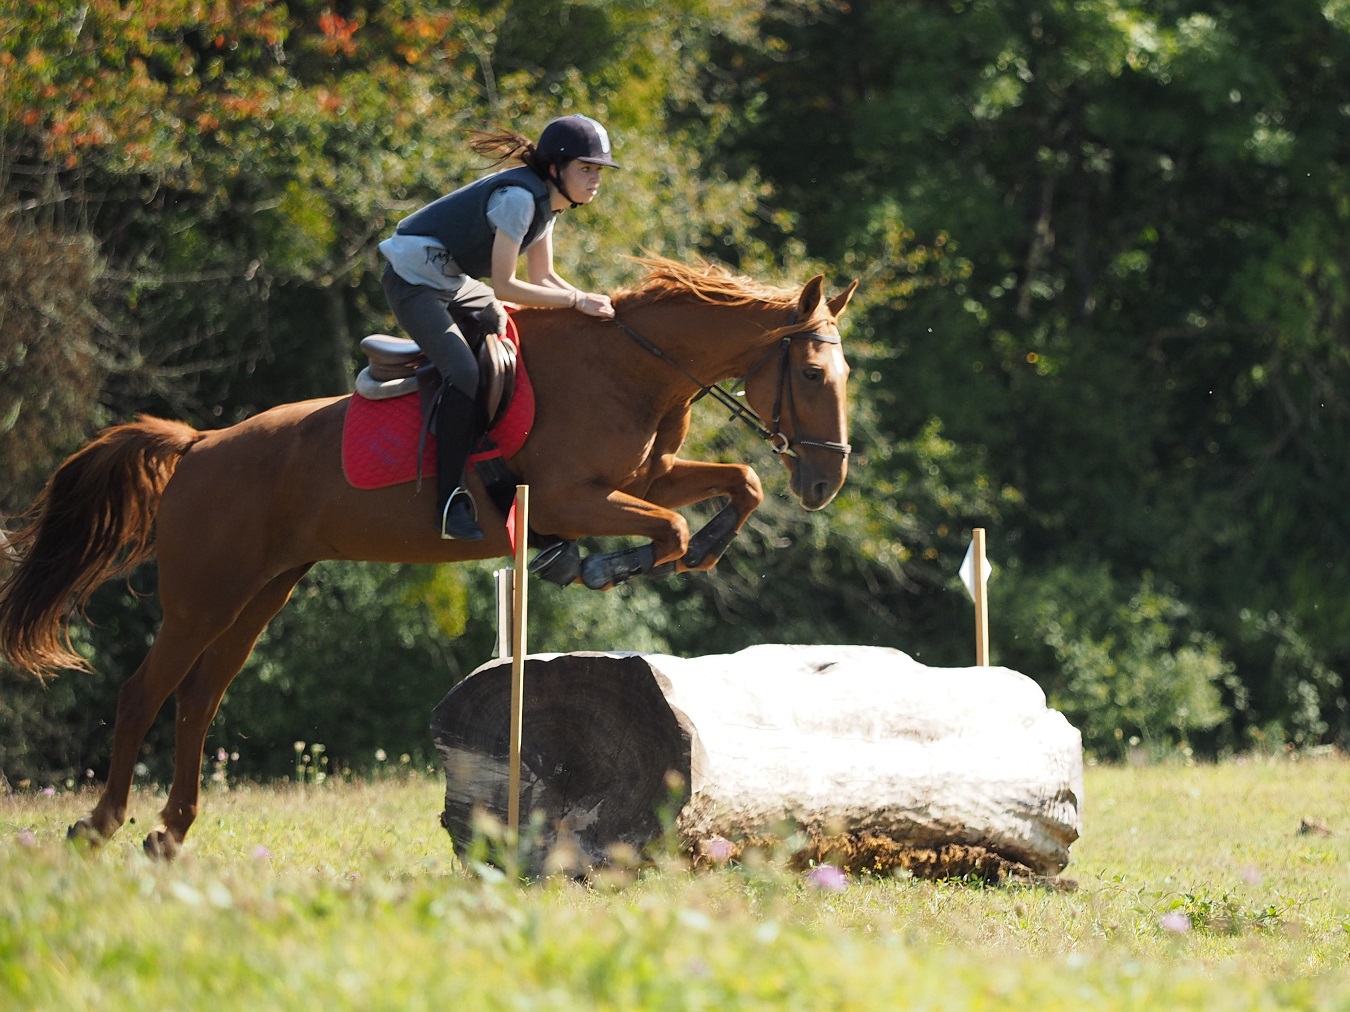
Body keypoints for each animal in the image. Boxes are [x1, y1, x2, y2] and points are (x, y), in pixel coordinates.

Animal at [2, 257, 853, 858]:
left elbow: (737, 485)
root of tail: (200, 444)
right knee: (143, 693)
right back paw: (100, 825)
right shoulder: (571, 498)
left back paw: (169, 831)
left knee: (199, 697)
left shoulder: (647, 479)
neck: (628, 371)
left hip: (261, 591)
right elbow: (668, 530)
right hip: (203, 595)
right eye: (814, 374)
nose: (824, 484)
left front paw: (704, 544)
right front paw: (597, 567)